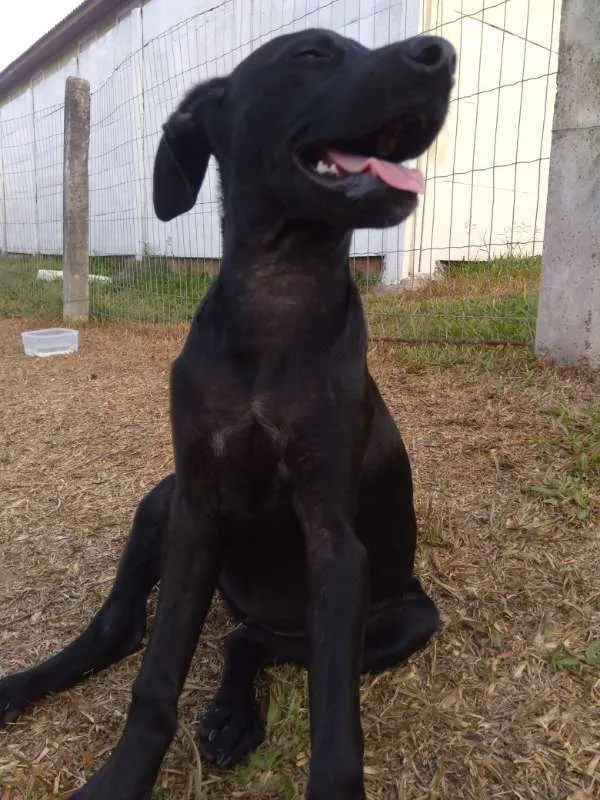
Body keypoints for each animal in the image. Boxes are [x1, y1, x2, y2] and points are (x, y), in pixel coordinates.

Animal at [0, 28, 450, 796]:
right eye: (312, 54)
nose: (442, 54)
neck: (278, 294)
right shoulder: (196, 512)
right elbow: (154, 681)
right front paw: (122, 776)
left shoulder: (335, 545)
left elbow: (335, 716)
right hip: (162, 498)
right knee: (124, 630)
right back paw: (20, 686)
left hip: (406, 617)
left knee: (256, 639)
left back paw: (236, 713)